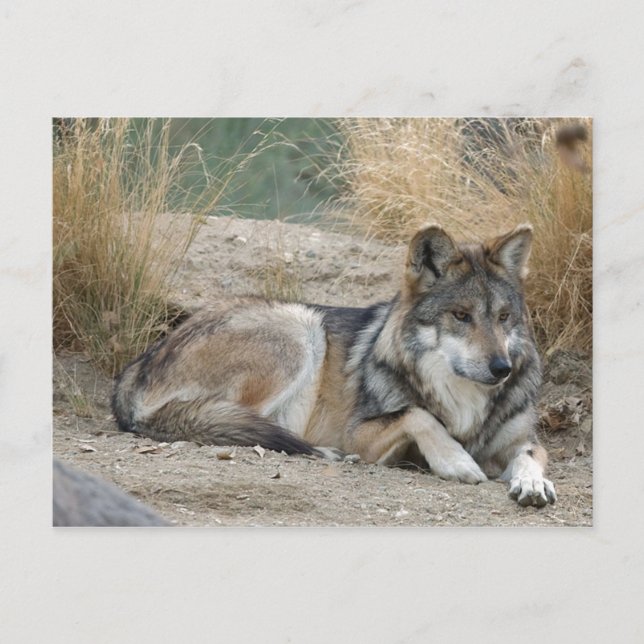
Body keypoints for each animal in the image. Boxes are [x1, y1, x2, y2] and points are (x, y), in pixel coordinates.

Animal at [112, 223, 556, 507]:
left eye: (503, 317)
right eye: (461, 316)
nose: (502, 368)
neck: (463, 402)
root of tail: (139, 363)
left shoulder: (518, 439)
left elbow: (532, 453)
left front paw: (533, 483)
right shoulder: (362, 433)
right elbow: (419, 415)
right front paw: (457, 460)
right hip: (299, 330)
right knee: (238, 427)